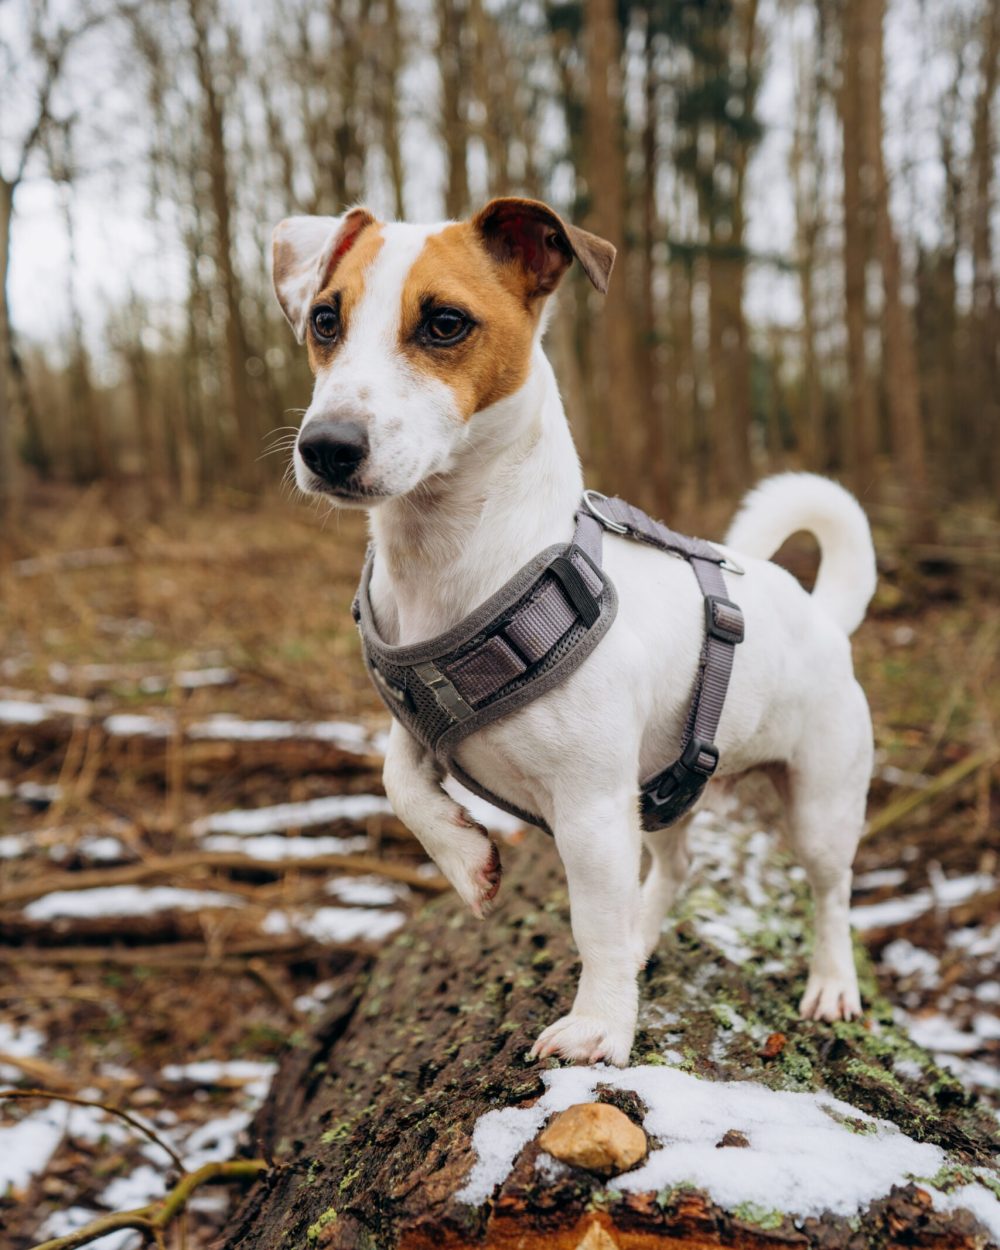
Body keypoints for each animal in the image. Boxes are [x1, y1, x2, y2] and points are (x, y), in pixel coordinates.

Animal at [270, 195, 870, 1065]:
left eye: (445, 323)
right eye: (324, 319)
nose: (327, 447)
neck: (449, 561)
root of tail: (822, 612)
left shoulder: (589, 810)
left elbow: (592, 925)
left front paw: (599, 1025)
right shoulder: (421, 728)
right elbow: (399, 781)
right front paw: (467, 860)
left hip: (820, 803)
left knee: (830, 891)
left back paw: (831, 985)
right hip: (660, 795)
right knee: (675, 868)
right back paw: (647, 937)